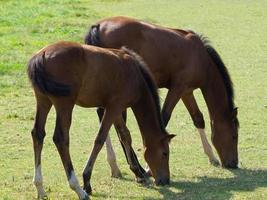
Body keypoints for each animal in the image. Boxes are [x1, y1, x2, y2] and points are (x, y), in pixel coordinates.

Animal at [26, 41, 174, 199]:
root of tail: (42, 56)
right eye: (165, 153)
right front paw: (86, 181)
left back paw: (40, 187)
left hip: (43, 101)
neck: (135, 75)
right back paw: (78, 189)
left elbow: (125, 135)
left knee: (38, 134)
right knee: (61, 139)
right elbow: (100, 139)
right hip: (64, 104)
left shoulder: (115, 109)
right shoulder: (113, 107)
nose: (165, 180)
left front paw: (137, 173)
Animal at [86, 16, 241, 169]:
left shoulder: (187, 92)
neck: (200, 57)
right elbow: (164, 117)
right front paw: (149, 165)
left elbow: (198, 119)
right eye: (234, 136)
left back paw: (117, 166)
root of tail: (98, 26)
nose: (233, 163)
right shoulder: (177, 89)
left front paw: (212, 156)